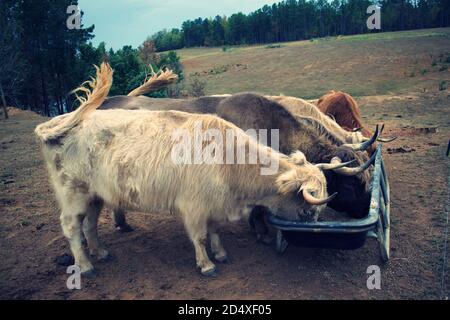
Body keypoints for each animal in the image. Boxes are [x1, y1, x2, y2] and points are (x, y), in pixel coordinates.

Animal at [36, 63, 344, 276]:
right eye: (308, 208)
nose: (315, 234)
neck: (229, 159)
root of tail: (61, 122)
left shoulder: (216, 204)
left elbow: (216, 231)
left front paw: (220, 254)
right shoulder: (193, 206)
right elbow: (199, 236)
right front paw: (207, 265)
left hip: (95, 196)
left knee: (89, 224)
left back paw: (100, 252)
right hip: (73, 196)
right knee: (72, 227)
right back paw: (86, 265)